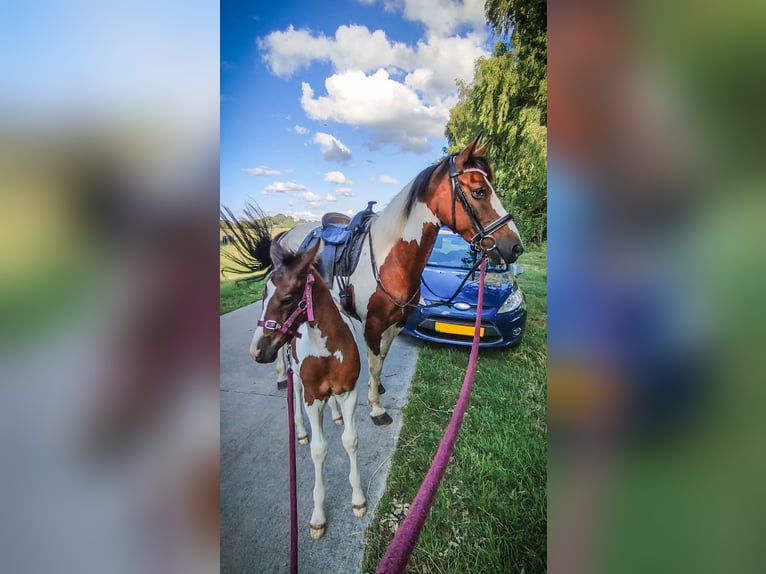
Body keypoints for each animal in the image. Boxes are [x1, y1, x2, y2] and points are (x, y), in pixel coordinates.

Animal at [240, 136, 524, 428]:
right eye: (479, 191)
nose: (515, 246)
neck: (392, 257)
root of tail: (286, 234)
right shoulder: (373, 324)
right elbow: (374, 364)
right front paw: (376, 408)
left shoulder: (395, 323)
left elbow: (382, 360)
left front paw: (376, 391)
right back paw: (281, 378)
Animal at [250, 241, 368, 544]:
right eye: (262, 295)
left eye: (288, 298)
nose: (257, 351)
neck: (327, 351)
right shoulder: (312, 398)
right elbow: (319, 449)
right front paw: (318, 517)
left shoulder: (349, 392)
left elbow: (350, 440)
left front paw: (358, 500)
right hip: (290, 363)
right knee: (294, 393)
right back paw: (301, 431)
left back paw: (335, 415)